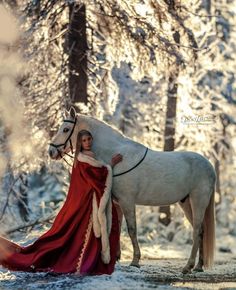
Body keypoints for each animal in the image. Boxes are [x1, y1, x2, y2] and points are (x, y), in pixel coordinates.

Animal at [49, 107, 216, 274]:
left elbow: (131, 229)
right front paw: (116, 258)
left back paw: (188, 266)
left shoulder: (127, 201)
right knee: (201, 231)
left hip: (197, 201)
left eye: (65, 129)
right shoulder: (118, 203)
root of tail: (209, 166)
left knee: (196, 231)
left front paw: (135, 261)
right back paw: (199, 266)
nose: (51, 151)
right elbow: (116, 227)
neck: (117, 155)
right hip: (186, 203)